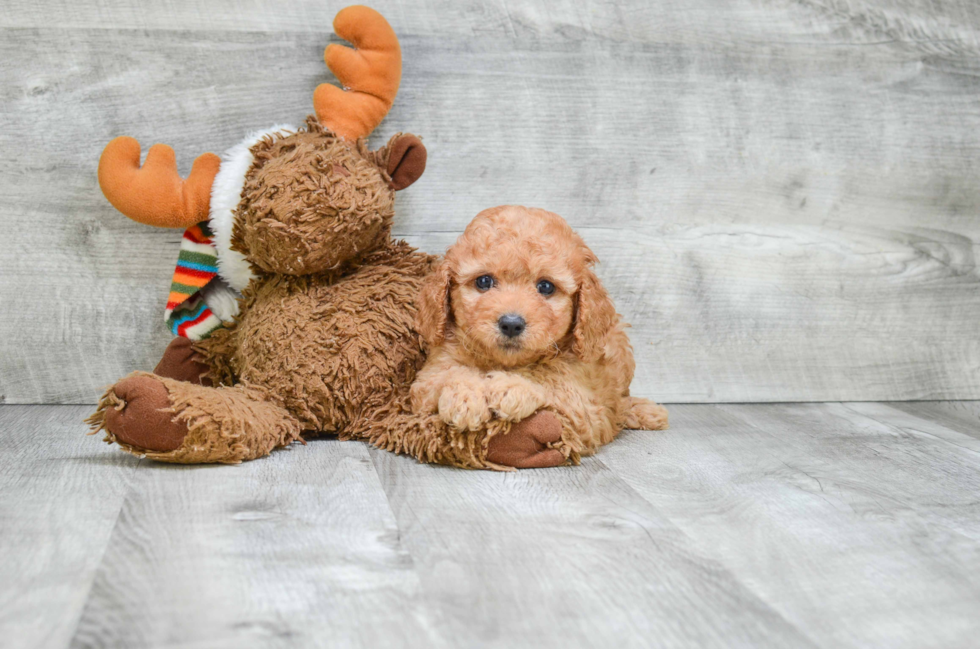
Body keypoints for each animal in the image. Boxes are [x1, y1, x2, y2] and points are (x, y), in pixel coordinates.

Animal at [410, 206, 668, 466]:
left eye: (546, 286)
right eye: (484, 281)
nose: (511, 324)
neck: (505, 362)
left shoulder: (585, 402)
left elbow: (549, 377)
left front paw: (510, 386)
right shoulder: (429, 375)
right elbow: (447, 374)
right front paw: (465, 396)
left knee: (622, 403)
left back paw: (647, 411)